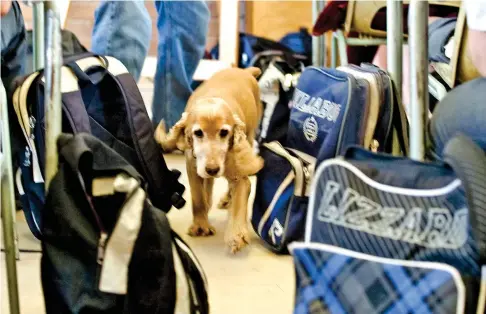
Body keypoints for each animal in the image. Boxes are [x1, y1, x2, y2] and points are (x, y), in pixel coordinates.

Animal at [155, 67, 262, 253]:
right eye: (198, 133)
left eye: (224, 132)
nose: (212, 169)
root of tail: (245, 70)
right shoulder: (192, 166)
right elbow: (198, 197)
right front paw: (200, 225)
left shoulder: (240, 175)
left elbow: (239, 203)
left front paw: (236, 235)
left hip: (250, 134)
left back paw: (226, 199)